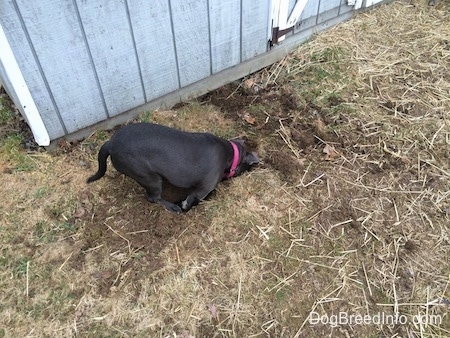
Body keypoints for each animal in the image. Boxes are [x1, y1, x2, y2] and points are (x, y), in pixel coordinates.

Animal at [87, 123, 260, 213]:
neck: (231, 154)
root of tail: (110, 144)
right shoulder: (203, 189)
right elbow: (189, 201)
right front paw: (183, 207)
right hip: (149, 177)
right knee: (153, 198)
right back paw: (173, 207)